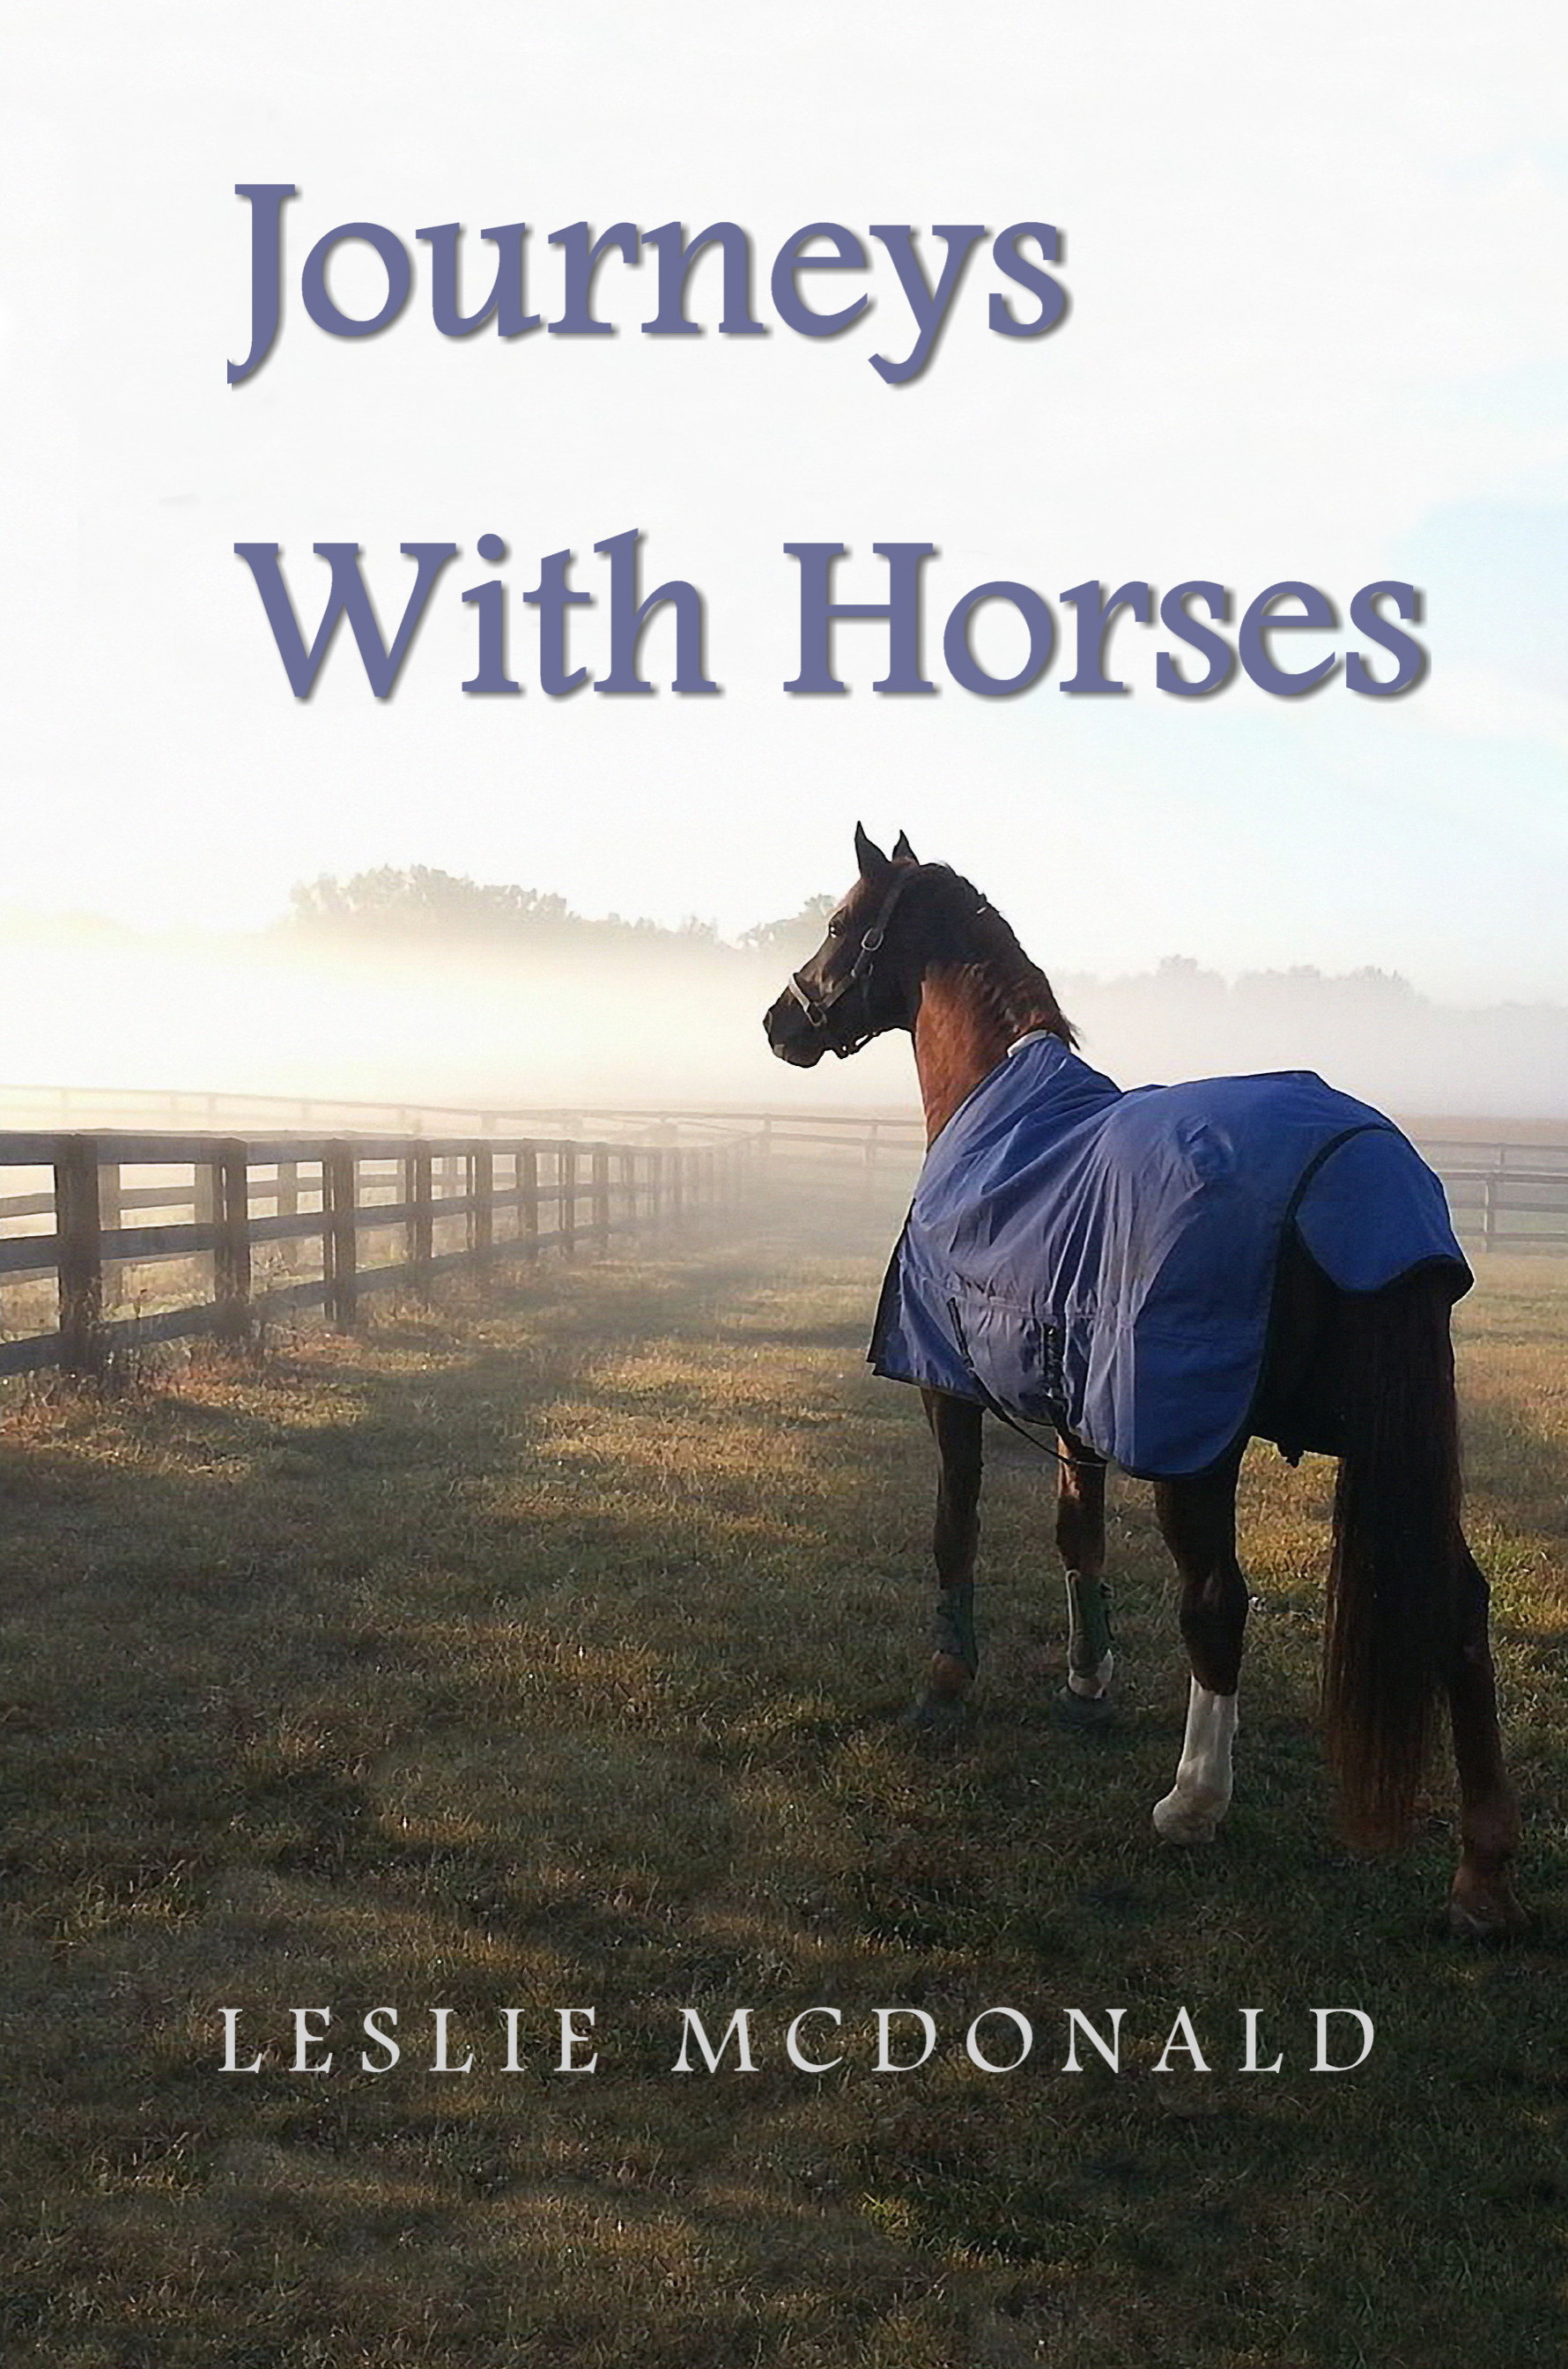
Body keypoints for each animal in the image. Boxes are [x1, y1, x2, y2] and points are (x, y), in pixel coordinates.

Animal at [762, 825, 1521, 1938]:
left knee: (1217, 1601)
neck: (992, 1105)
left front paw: (944, 1683)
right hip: (1397, 1452)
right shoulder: (1077, 1398)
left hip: (1196, 1451)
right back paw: (1480, 1873)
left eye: (840, 923)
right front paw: (1086, 1683)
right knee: (1457, 1611)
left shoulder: (949, 1385)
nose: (780, 1021)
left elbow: (956, 1525)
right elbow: (1076, 1534)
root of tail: (1361, 1165)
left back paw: (1193, 1802)